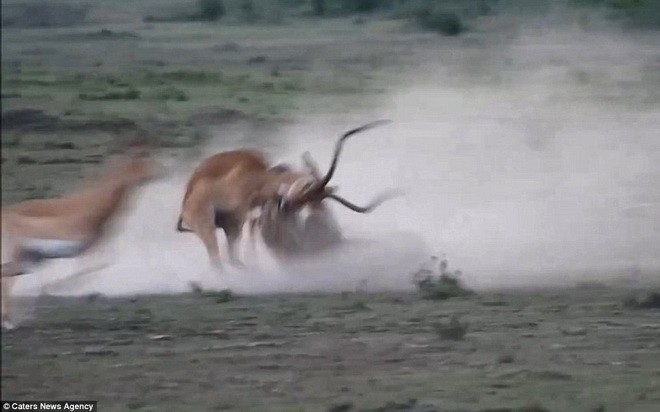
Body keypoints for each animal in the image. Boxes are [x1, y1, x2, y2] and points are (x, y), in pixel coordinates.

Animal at [1, 142, 162, 328]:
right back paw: (9, 321)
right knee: (6, 279)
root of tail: (4, 213)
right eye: (144, 159)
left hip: (27, 257)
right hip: (19, 254)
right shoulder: (83, 251)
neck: (92, 206)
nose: (162, 172)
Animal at [175, 119, 400, 268]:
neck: (260, 176)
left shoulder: (246, 218)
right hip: (209, 228)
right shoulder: (240, 217)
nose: (286, 206)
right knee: (218, 259)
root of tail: (185, 206)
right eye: (308, 189)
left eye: (316, 199)